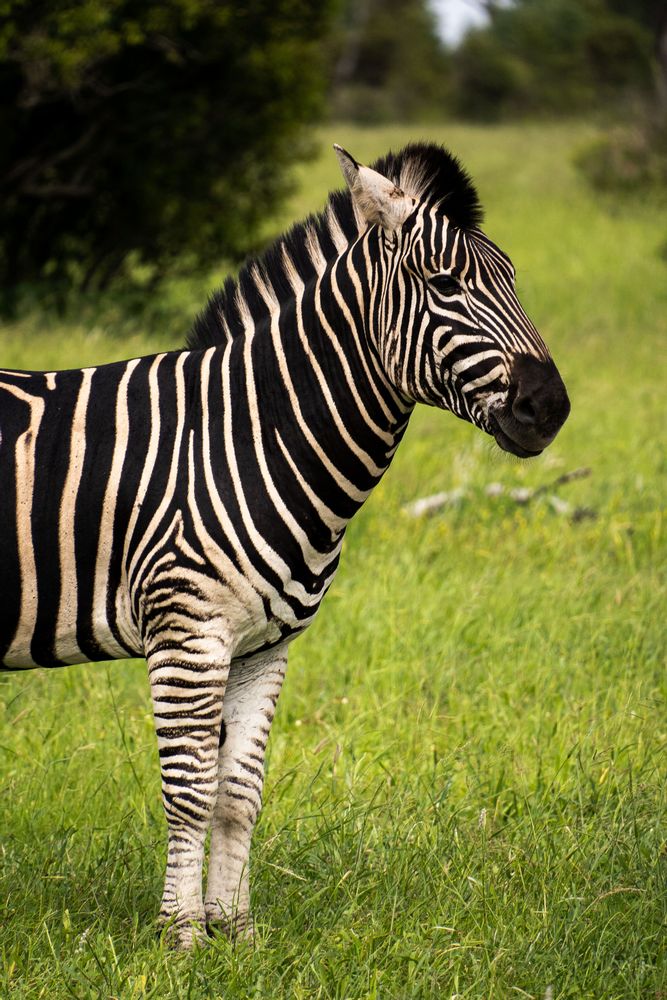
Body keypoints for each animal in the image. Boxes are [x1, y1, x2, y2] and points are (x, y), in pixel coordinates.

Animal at [0, 141, 570, 947]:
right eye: (445, 284)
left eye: (513, 279)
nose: (549, 408)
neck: (247, 434)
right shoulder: (187, 635)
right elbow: (187, 791)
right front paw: (180, 938)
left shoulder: (264, 647)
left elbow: (237, 792)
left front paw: (235, 932)